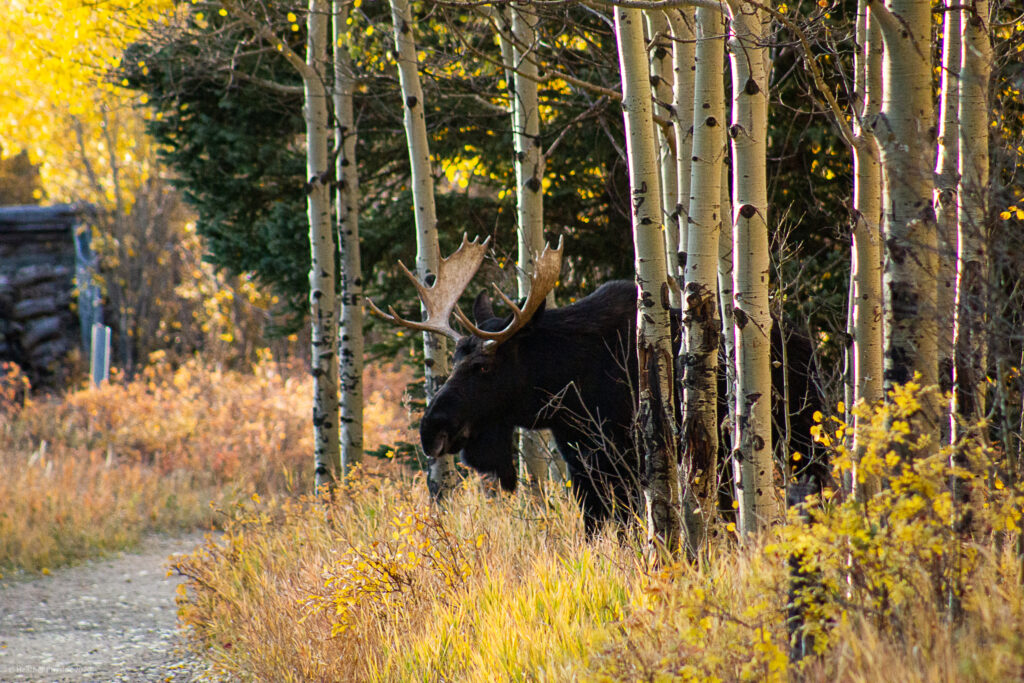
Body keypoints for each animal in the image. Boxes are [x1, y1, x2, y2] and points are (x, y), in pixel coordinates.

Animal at [372, 236, 827, 532]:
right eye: (454, 361)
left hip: (803, 441)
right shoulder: (584, 471)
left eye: (483, 367)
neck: (568, 391)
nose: (431, 428)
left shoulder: (628, 466)